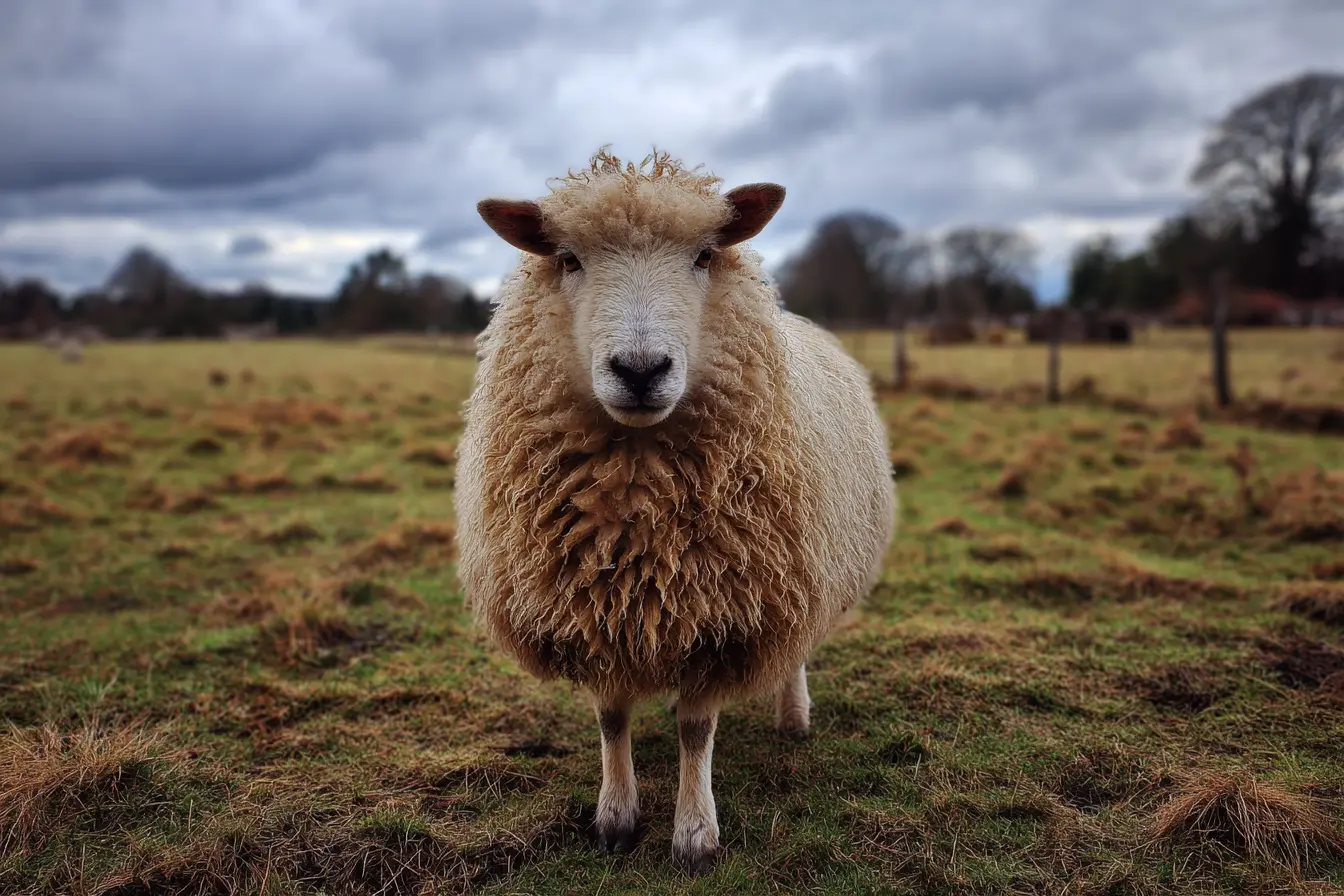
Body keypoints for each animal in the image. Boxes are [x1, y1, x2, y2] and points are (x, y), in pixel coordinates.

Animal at [456, 148, 896, 874]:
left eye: (704, 256)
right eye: (568, 259)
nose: (640, 369)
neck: (637, 510)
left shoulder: (728, 612)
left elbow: (697, 728)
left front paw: (695, 834)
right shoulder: (590, 611)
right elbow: (611, 718)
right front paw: (615, 818)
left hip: (800, 568)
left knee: (794, 649)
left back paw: (793, 716)